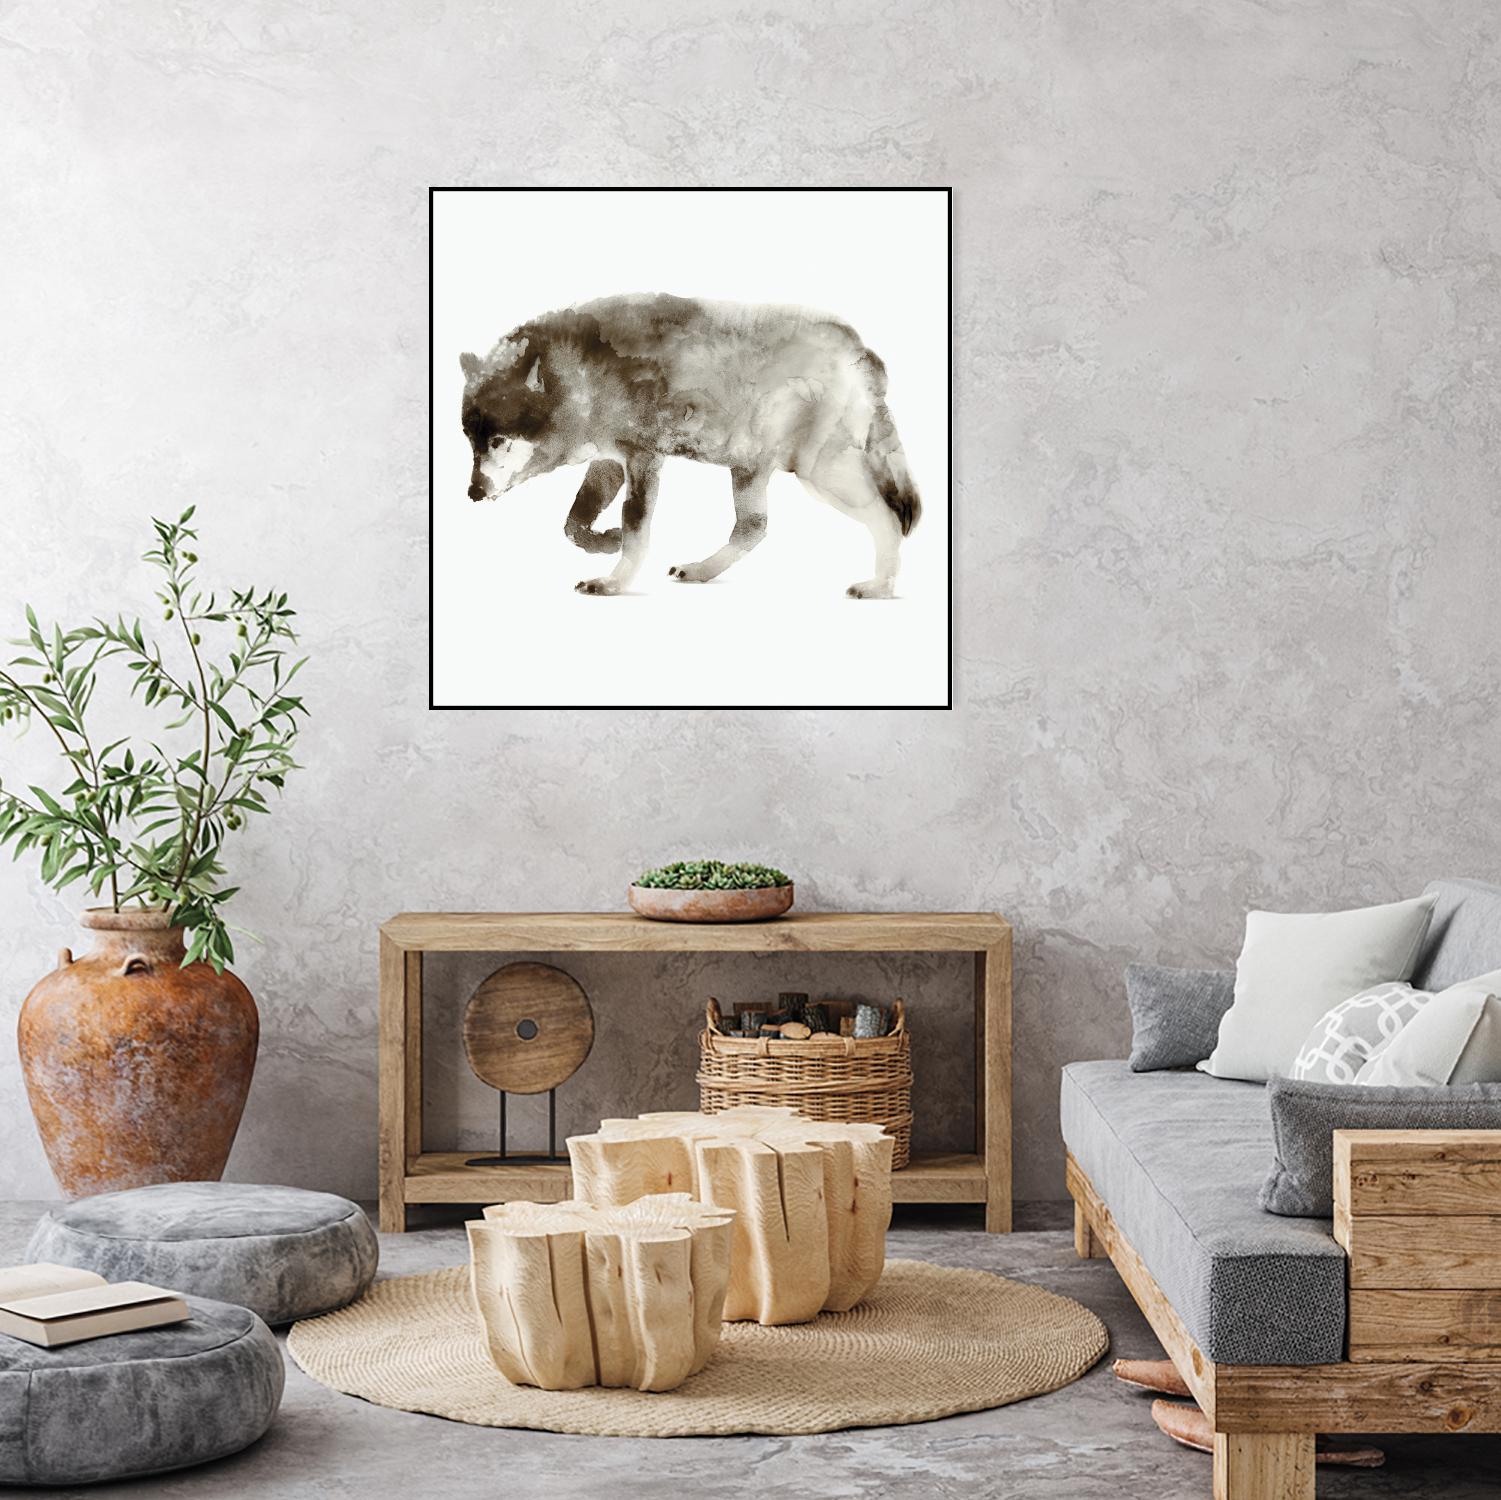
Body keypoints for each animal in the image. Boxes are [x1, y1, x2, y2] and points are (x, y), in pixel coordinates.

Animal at [459, 293, 921, 597]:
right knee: (754, 527)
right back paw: (700, 571)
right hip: (750, 467)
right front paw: (606, 541)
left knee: (888, 518)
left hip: (819, 473)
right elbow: (574, 524)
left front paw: (613, 581)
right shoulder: (610, 460)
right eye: (470, 441)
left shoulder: (643, 458)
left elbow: (635, 528)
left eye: (498, 441)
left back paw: (880, 586)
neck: (579, 375)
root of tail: (859, 347)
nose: (473, 493)